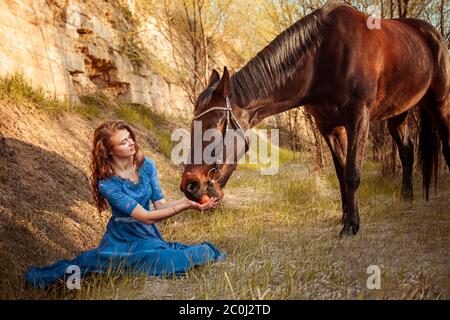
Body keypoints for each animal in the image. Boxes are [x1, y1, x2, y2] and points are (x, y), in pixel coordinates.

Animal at [179, 1, 450, 236]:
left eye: (215, 127)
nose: (189, 186)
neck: (323, 56)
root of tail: (432, 34)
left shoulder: (358, 120)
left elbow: (352, 172)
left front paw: (351, 225)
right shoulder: (329, 127)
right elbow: (341, 173)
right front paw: (345, 216)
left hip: (439, 105)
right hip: (398, 114)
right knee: (407, 152)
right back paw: (407, 197)